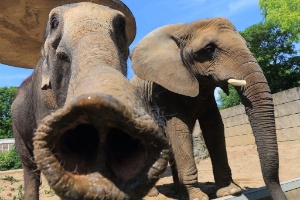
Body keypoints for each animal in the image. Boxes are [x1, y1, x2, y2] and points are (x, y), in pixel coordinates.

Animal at [8, 0, 169, 199]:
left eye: (121, 25)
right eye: (54, 23)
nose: (101, 112)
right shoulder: (43, 101)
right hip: (17, 127)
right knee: (30, 166)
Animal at [131, 17, 286, 200]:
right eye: (209, 49)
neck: (182, 28)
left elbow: (214, 127)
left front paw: (230, 191)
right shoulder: (163, 92)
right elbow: (179, 130)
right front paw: (198, 196)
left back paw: (177, 192)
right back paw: (153, 194)